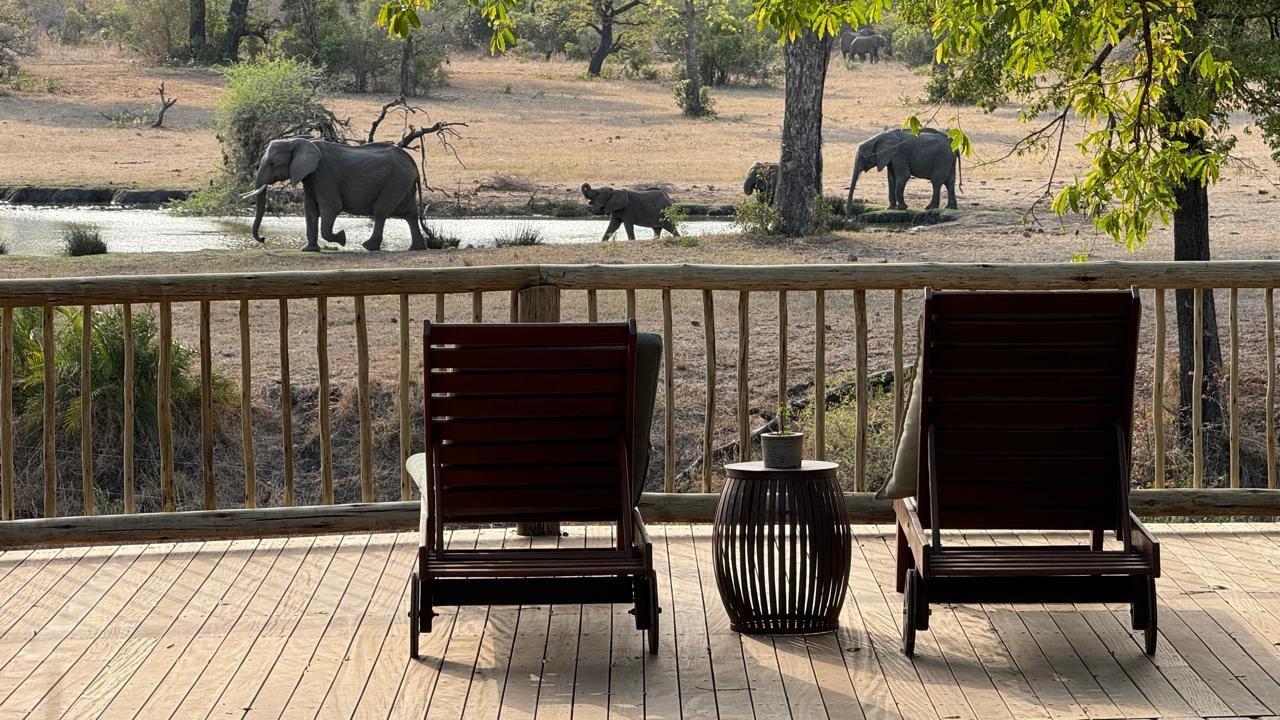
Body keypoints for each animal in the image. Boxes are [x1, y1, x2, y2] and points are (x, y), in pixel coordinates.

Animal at [242, 137, 426, 252]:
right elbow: (310, 209)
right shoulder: (310, 176)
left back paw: (368, 246)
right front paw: (308, 250)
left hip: (396, 180)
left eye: (272, 163)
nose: (263, 238)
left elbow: (331, 207)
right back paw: (416, 248)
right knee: (410, 213)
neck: (296, 141)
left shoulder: (323, 172)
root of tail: (414, 166)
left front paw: (342, 238)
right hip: (403, 182)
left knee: (380, 210)